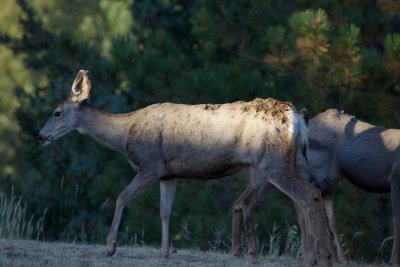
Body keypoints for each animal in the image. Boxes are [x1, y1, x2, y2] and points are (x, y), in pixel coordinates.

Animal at [37, 70, 332, 266]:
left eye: (57, 113)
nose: (40, 136)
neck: (125, 135)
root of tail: (296, 118)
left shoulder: (150, 165)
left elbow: (121, 198)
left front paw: (110, 247)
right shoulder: (168, 174)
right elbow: (165, 211)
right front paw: (164, 252)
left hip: (272, 163)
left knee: (307, 196)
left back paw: (314, 257)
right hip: (286, 162)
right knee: (312, 195)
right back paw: (323, 256)